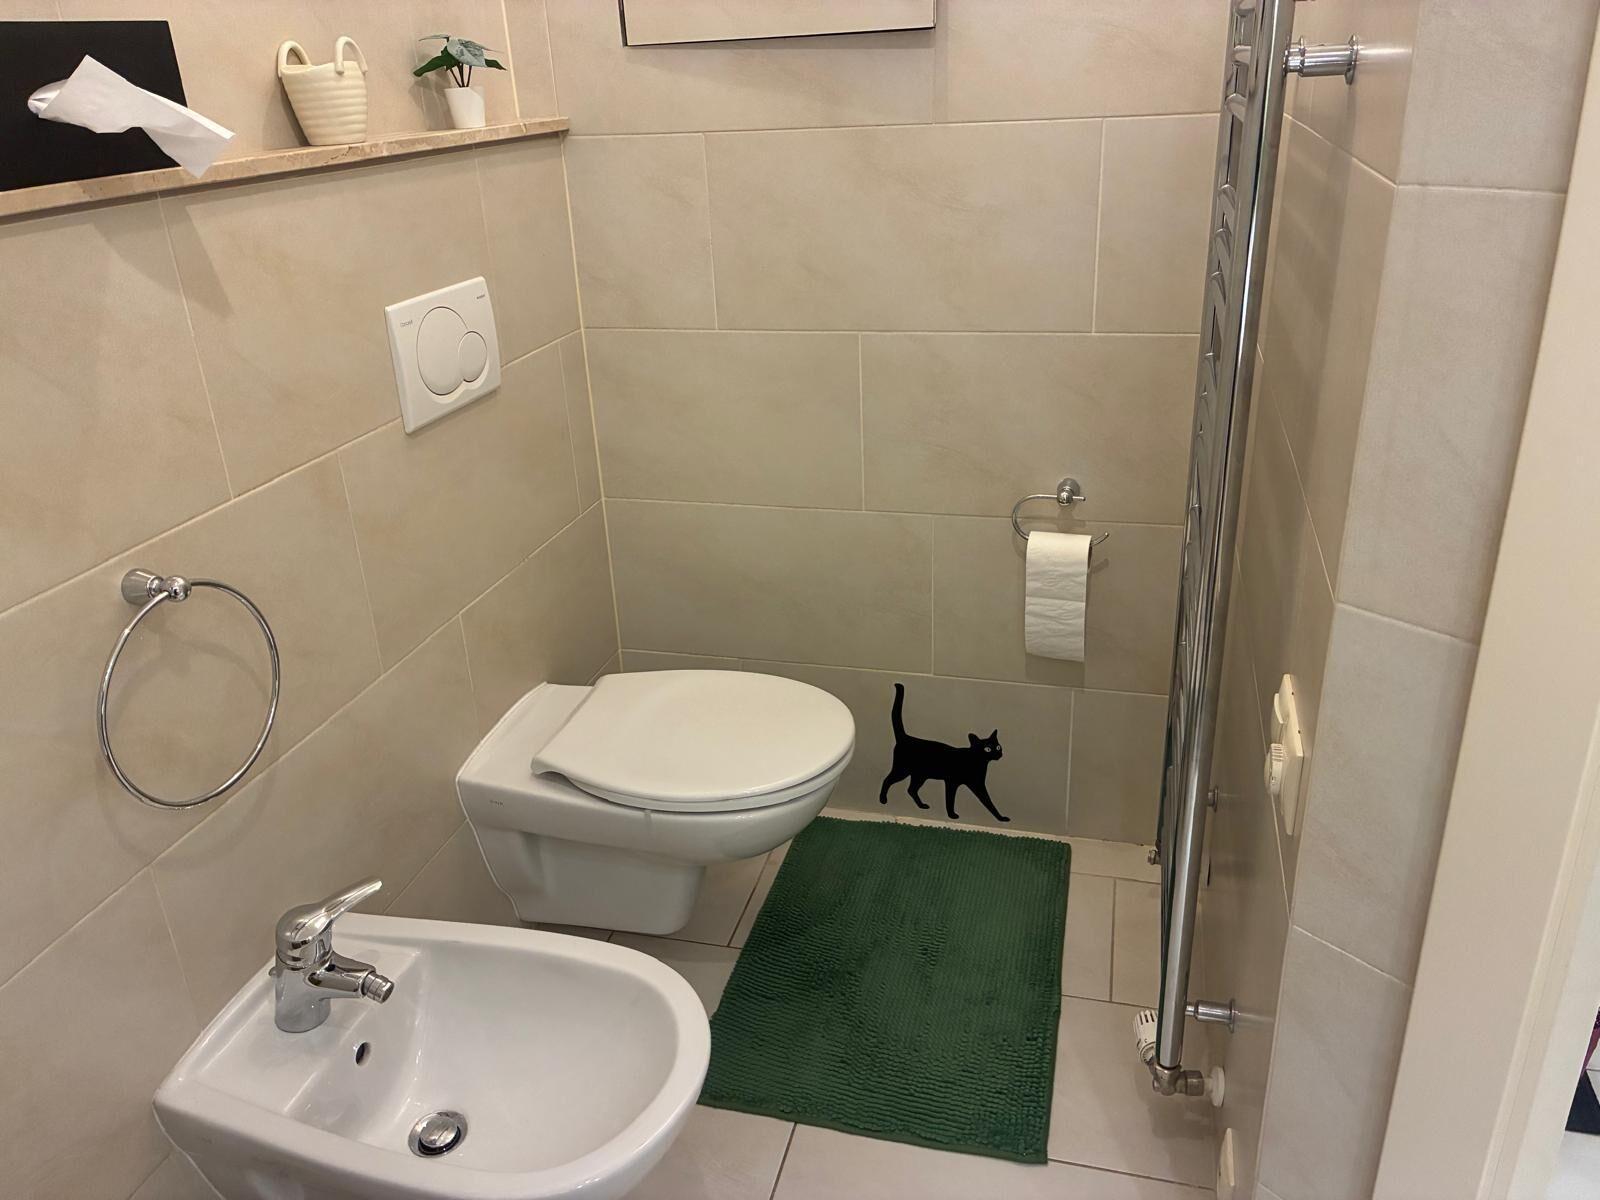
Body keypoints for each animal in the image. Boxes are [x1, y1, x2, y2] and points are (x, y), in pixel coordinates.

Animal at [878, 682, 1009, 823]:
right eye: (987, 749)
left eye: (998, 747)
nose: (998, 753)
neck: (978, 763)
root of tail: (906, 737)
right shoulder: (952, 782)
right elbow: (950, 800)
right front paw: (952, 815)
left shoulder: (978, 785)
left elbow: (989, 802)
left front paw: (1000, 818)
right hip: (902, 770)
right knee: (887, 780)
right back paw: (883, 799)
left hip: (920, 775)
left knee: (911, 789)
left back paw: (922, 805)